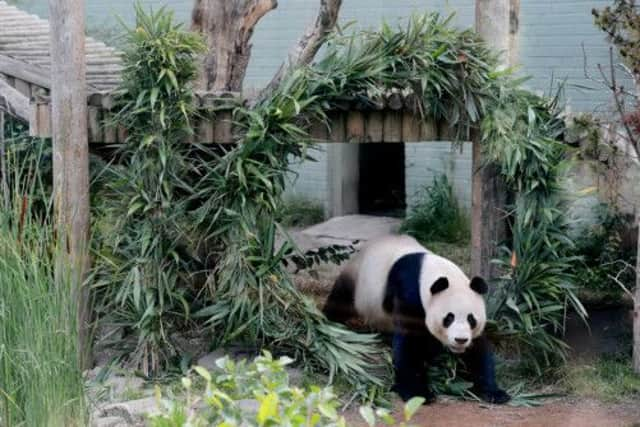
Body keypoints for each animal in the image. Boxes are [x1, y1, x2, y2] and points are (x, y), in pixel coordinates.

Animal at [322, 234, 512, 404]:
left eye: (471, 320)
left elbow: (478, 350)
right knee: (340, 301)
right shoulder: (410, 292)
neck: (431, 271)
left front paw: (493, 392)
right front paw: (419, 393)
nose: (460, 340)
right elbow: (410, 344)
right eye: (448, 318)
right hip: (357, 281)